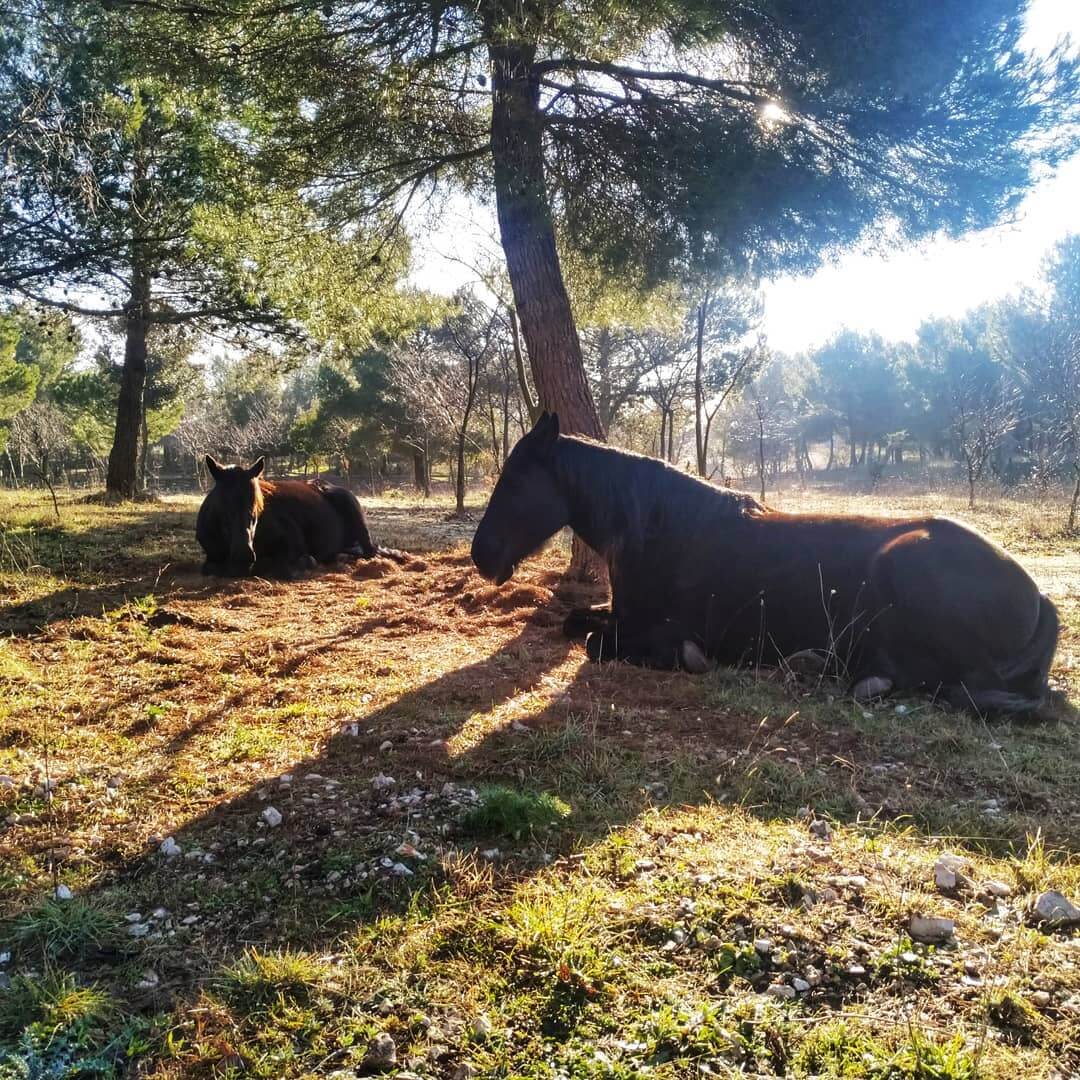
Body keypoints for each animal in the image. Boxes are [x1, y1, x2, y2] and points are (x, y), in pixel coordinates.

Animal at [194, 453, 401, 578]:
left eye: (256, 504)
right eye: (221, 503)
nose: (242, 555)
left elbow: (286, 564)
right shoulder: (211, 557)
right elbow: (210, 567)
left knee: (369, 551)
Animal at [468, 412, 1058, 717]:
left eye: (515, 480)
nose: (481, 555)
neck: (659, 526)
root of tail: (1037, 595)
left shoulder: (651, 627)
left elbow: (595, 642)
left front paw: (690, 657)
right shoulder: (620, 612)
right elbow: (576, 621)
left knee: (948, 684)